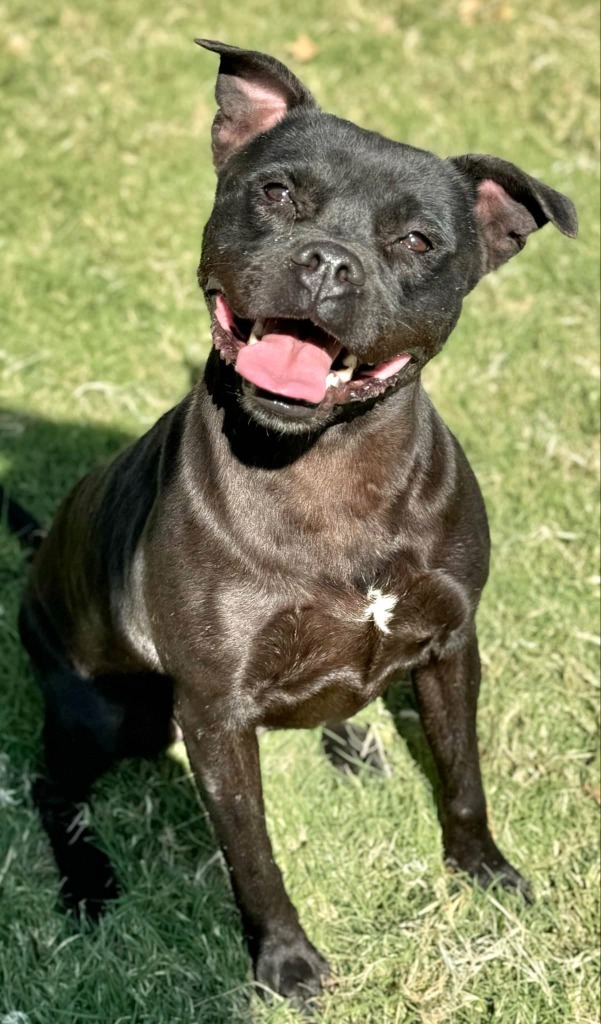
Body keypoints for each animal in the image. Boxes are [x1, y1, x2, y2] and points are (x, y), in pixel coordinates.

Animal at [9, 39, 577, 1015]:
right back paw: (88, 880)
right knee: (52, 787)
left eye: (416, 240)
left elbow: (463, 778)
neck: (328, 470)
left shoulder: (449, 647)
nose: (326, 263)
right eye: (275, 191)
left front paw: (486, 876)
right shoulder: (213, 710)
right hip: (103, 709)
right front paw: (286, 966)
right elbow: (253, 857)